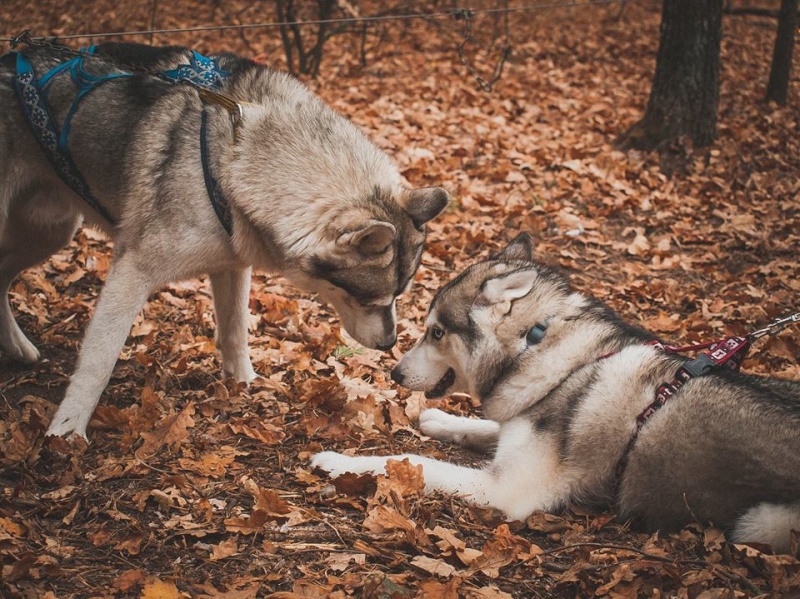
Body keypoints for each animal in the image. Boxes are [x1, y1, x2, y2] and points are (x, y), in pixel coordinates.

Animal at [0, 41, 450, 436]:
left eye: (398, 297)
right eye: (368, 300)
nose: (390, 344)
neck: (234, 154)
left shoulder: (232, 266)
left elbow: (235, 332)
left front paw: (244, 383)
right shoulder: (132, 272)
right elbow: (99, 361)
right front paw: (66, 431)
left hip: (51, 233)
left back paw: (17, 348)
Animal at [316, 233, 800, 552]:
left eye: (436, 333)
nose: (395, 372)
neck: (539, 347)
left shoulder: (505, 491)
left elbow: (409, 461)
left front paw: (338, 462)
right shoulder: (517, 420)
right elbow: (486, 426)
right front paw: (440, 421)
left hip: (762, 521)